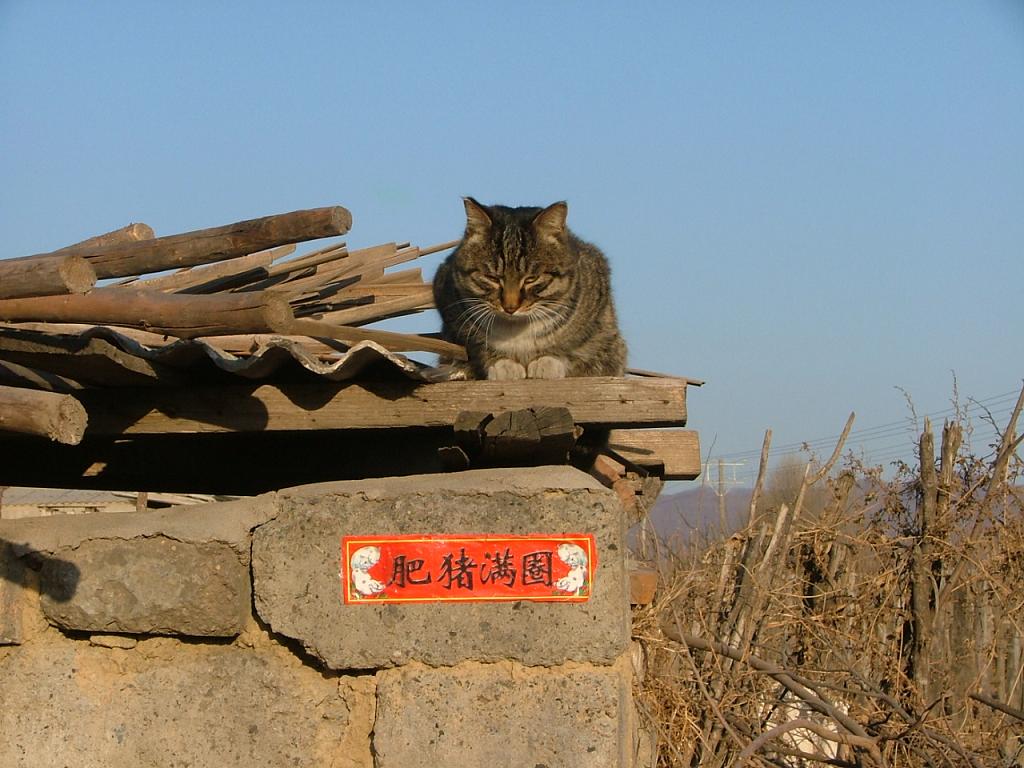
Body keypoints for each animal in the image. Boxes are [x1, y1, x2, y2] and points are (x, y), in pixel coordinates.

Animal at [430, 196, 622, 380]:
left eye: (531, 279)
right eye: (492, 278)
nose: (510, 307)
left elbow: (574, 348)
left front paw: (548, 361)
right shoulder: (451, 309)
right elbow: (478, 347)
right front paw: (503, 365)